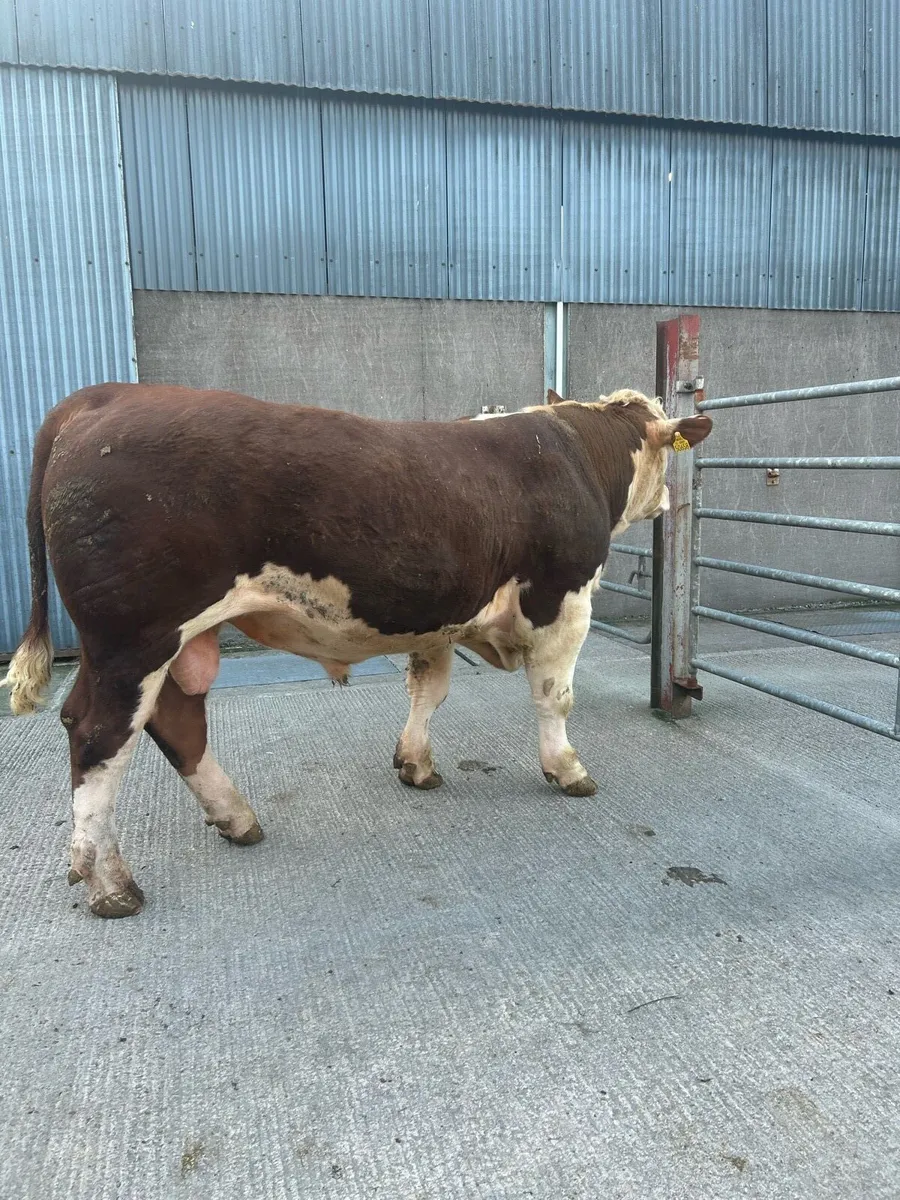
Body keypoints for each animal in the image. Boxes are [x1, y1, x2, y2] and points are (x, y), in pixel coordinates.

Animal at [3, 383, 711, 918]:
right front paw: (566, 770)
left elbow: (429, 690)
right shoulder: (564, 601)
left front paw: (415, 764)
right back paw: (110, 883)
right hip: (134, 637)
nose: (670, 501)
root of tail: (106, 395)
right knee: (98, 735)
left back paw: (235, 818)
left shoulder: (436, 617)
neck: (577, 450)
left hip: (159, 641)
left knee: (172, 721)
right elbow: (554, 697)